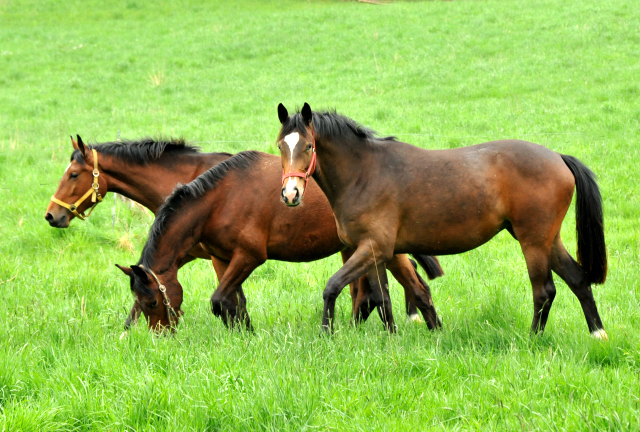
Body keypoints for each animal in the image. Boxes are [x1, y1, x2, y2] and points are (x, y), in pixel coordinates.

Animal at [46, 137, 444, 330]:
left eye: (73, 175)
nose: (52, 215)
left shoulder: (228, 256)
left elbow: (227, 299)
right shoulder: (216, 256)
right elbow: (233, 300)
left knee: (405, 288)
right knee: (372, 294)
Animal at [278, 103, 608, 340]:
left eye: (308, 146)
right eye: (281, 145)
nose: (290, 193)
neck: (364, 173)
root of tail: (558, 157)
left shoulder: (374, 248)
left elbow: (333, 286)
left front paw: (327, 333)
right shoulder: (378, 252)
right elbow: (384, 298)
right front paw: (397, 337)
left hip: (533, 242)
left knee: (544, 291)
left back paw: (533, 339)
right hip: (547, 240)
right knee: (578, 279)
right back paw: (598, 335)